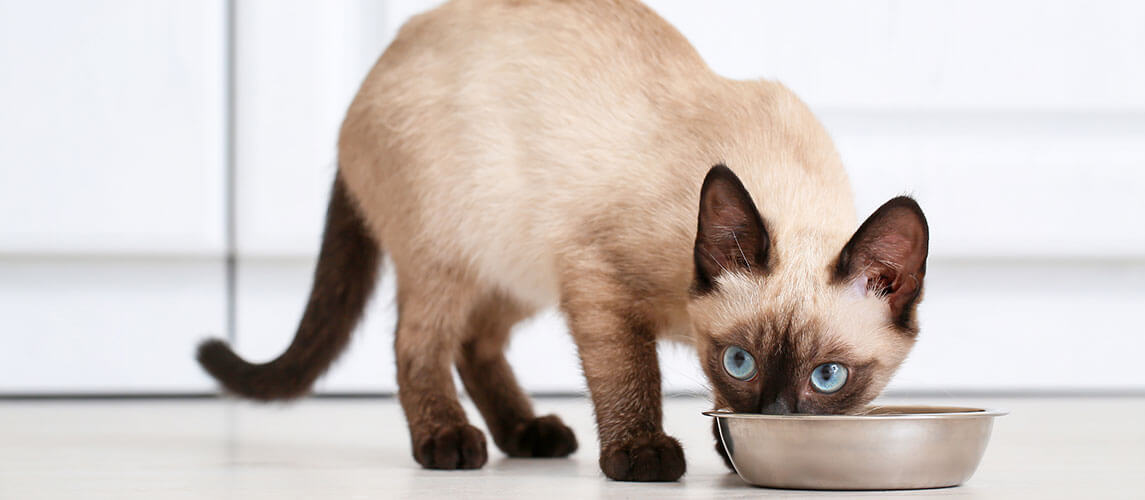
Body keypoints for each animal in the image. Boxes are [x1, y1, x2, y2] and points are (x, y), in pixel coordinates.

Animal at [199, 0, 929, 482]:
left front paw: (732, 448)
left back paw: (528, 434)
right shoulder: (598, 283)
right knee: (418, 344)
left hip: (516, 269)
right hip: (453, 252)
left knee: (474, 343)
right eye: (741, 361)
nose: (777, 415)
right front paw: (642, 455)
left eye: (827, 377)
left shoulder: (589, 283)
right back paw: (448, 440)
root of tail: (374, 72)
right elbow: (629, 376)